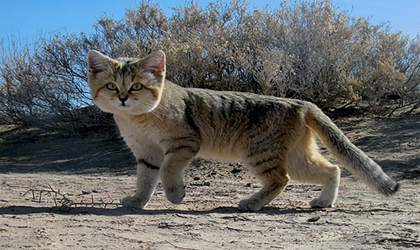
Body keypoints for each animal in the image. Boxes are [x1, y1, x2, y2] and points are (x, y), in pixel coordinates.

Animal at [87, 49, 398, 211]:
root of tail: (302, 102)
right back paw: (323, 202)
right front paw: (137, 201)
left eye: (137, 86)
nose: (122, 98)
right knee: (332, 169)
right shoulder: (146, 153)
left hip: (259, 153)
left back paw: (253, 202)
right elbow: (145, 180)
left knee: (281, 179)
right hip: (297, 158)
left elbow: (167, 171)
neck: (137, 118)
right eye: (111, 86)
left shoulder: (183, 144)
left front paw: (175, 195)